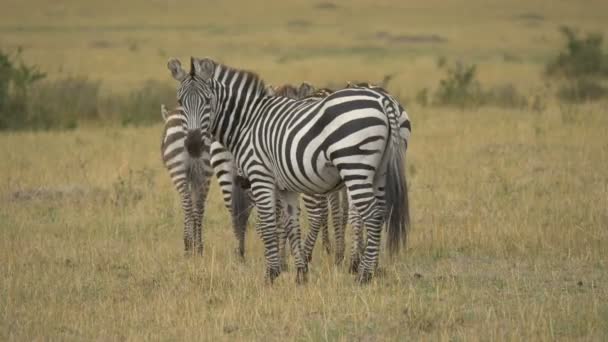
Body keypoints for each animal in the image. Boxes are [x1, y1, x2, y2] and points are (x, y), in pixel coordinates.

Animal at [169, 58, 410, 284]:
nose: (193, 145)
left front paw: (271, 274)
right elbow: (291, 224)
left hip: (354, 165)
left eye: (208, 100)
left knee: (371, 215)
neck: (247, 121)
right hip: (379, 171)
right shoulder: (285, 186)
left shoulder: (260, 176)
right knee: (380, 212)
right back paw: (372, 268)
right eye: (180, 102)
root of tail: (383, 99)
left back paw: (364, 275)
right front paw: (301, 274)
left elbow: (267, 224)